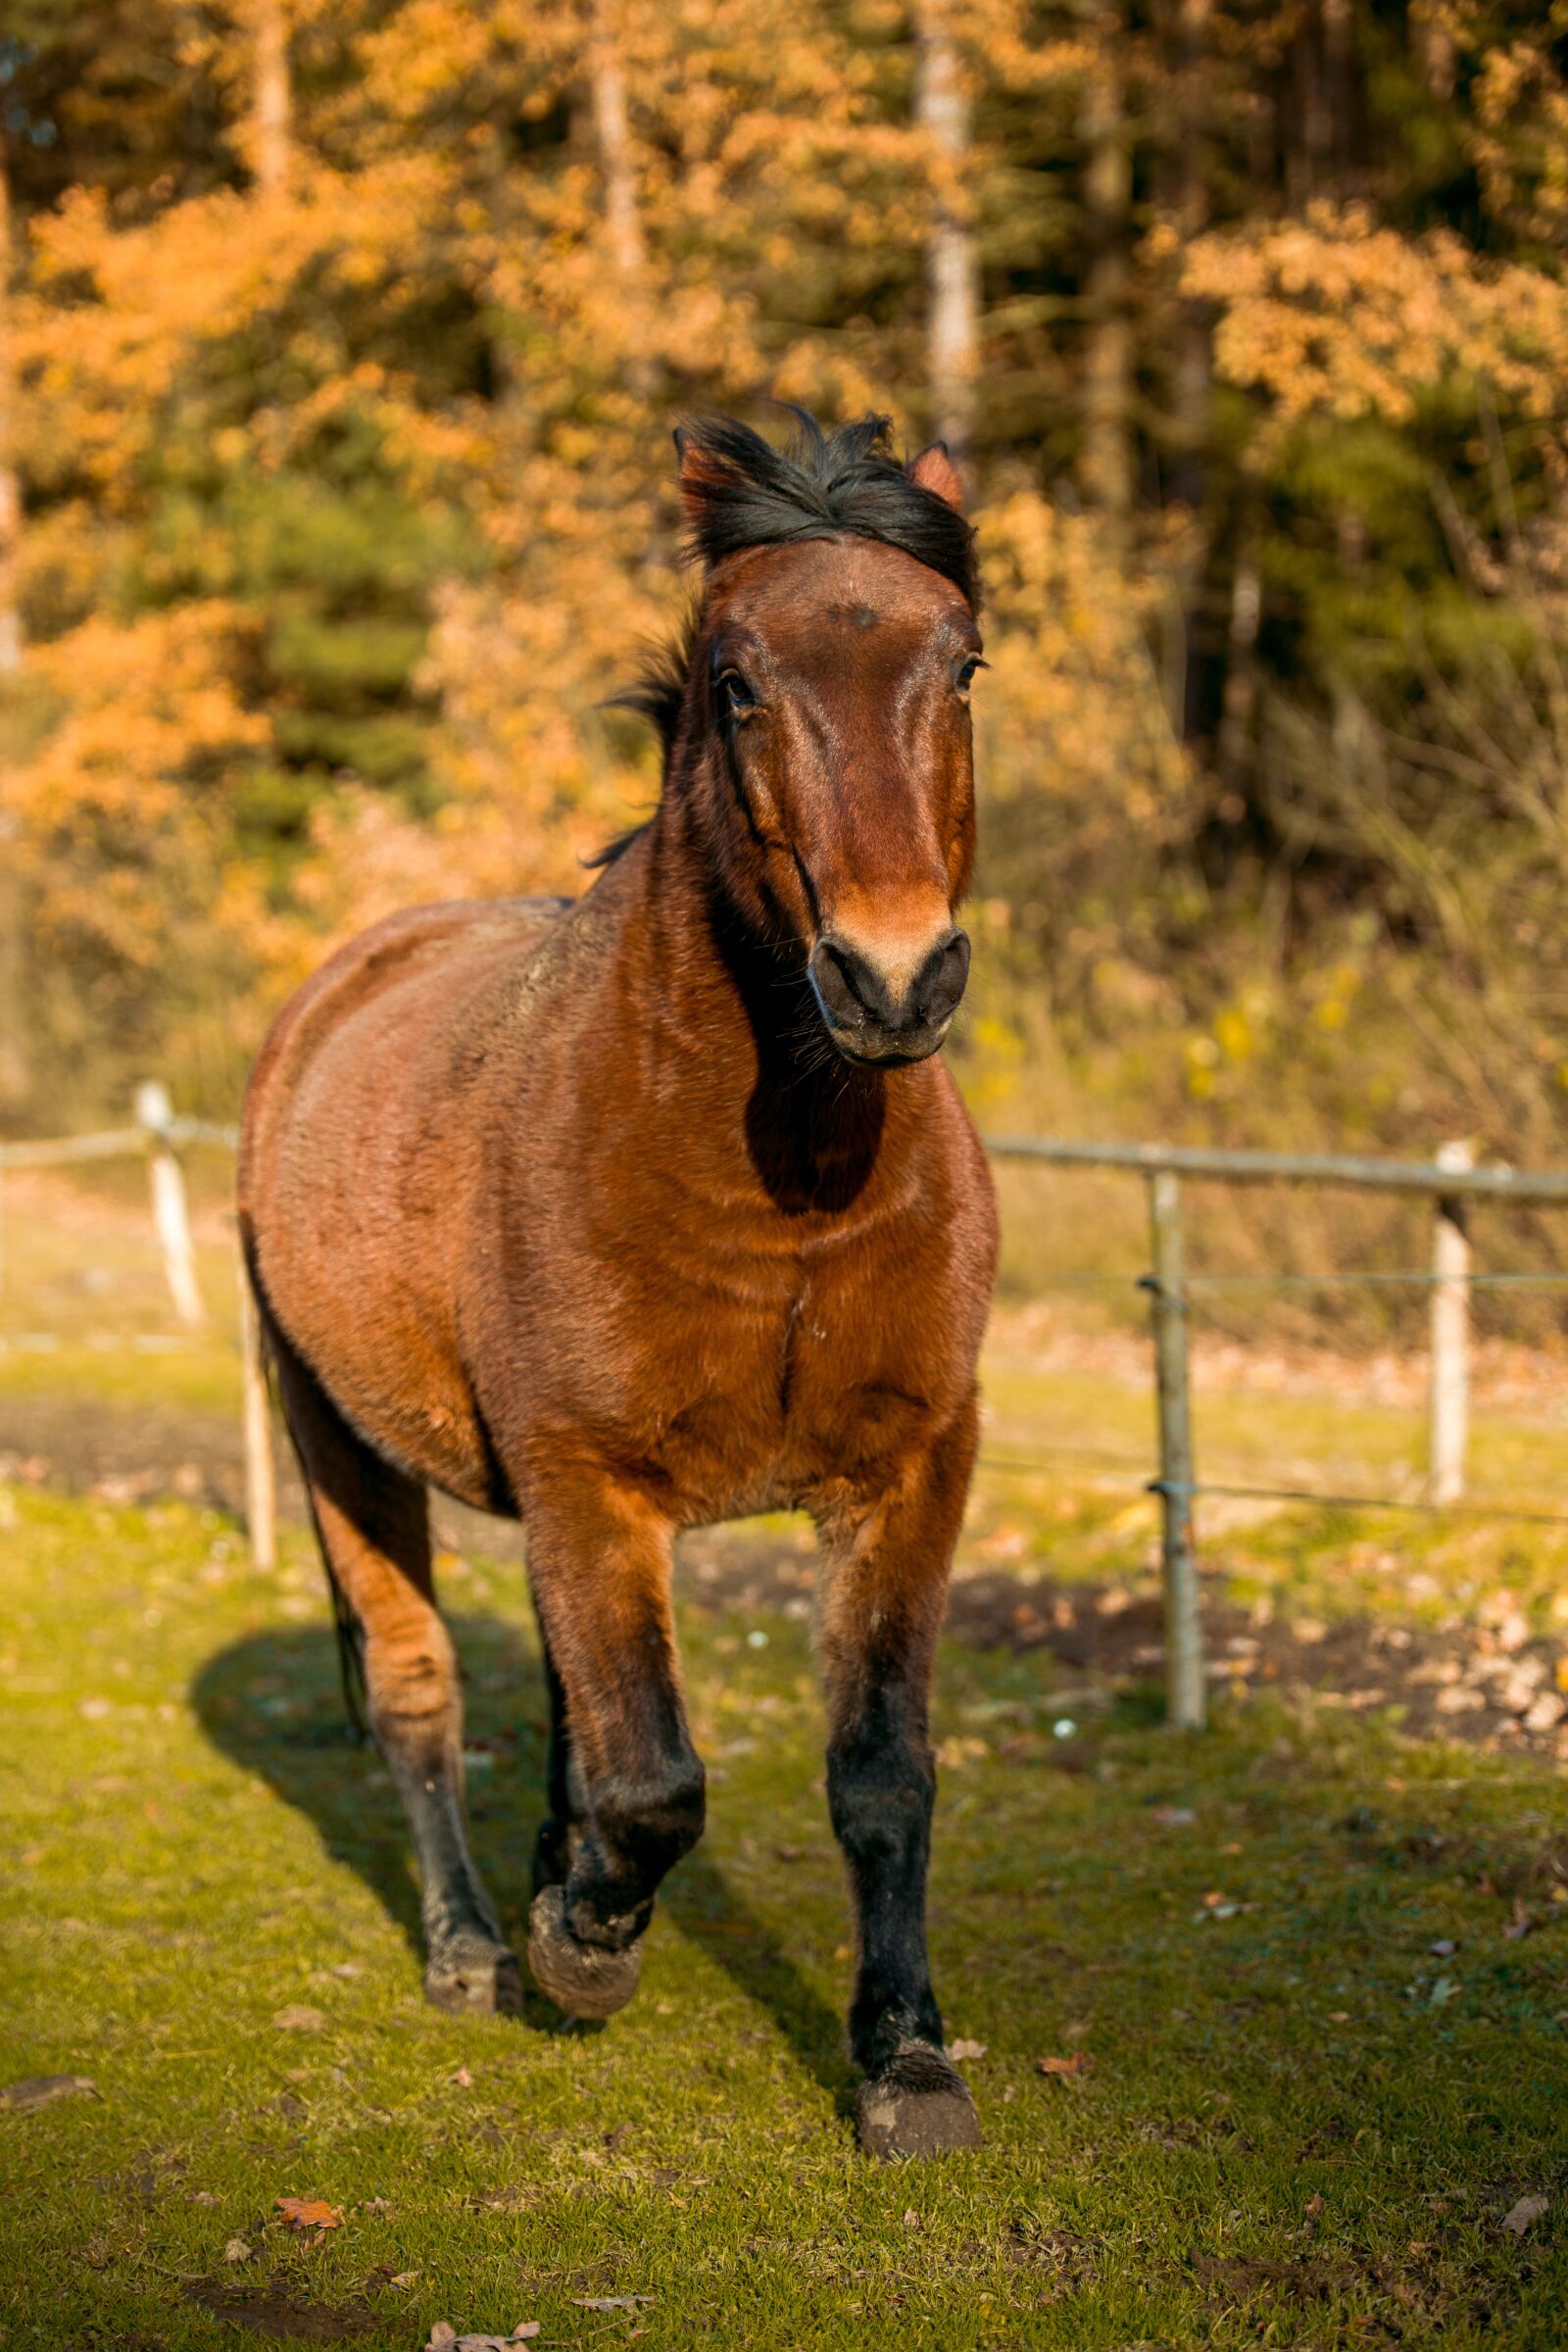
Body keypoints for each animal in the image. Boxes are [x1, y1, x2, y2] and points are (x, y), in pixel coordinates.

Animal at [238, 411, 998, 2160]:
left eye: (966, 664)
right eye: (736, 682)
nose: (894, 976)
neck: (783, 1190)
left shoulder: (911, 1472)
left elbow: (880, 1775)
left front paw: (906, 2062)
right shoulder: (593, 1481)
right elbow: (654, 1782)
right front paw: (584, 1947)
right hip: (337, 1444)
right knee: (419, 1692)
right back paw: (471, 1943)